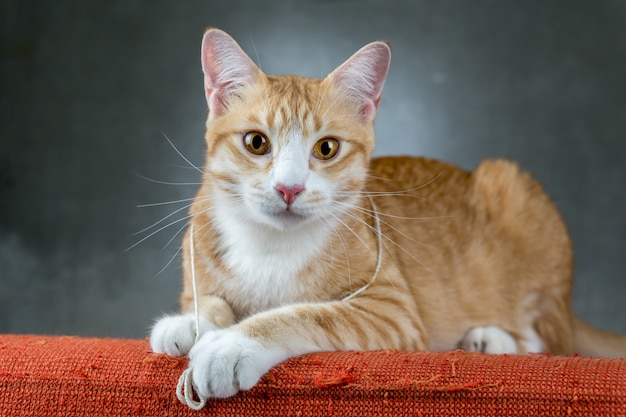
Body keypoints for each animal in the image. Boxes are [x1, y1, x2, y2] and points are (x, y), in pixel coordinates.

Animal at [150, 27, 624, 398]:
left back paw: (492, 338)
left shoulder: (392, 310)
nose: (289, 188)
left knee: (548, 341)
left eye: (326, 148)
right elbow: (211, 301)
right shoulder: (200, 277)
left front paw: (232, 344)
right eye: (256, 143)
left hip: (513, 191)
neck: (271, 248)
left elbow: (306, 313)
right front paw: (189, 324)